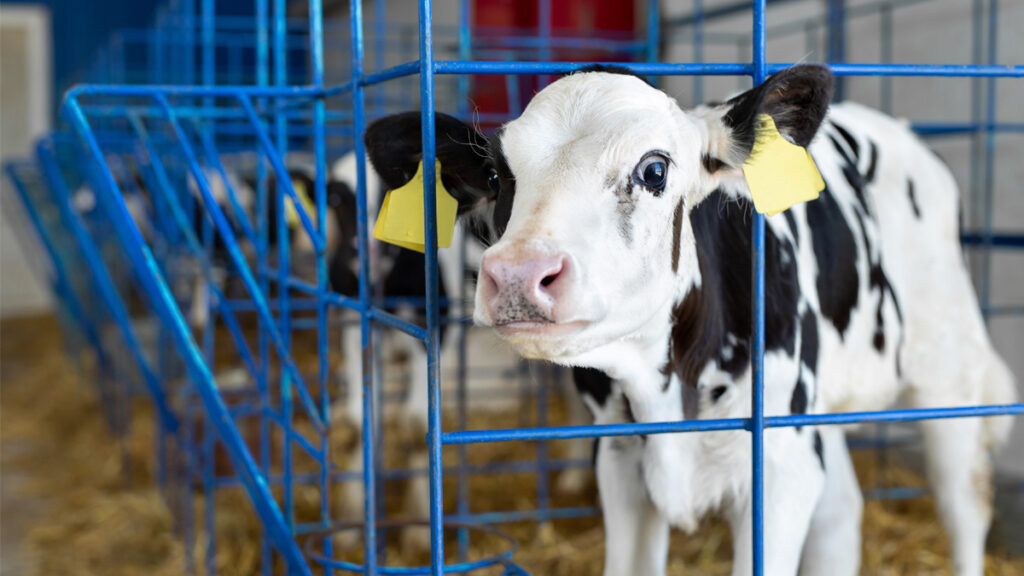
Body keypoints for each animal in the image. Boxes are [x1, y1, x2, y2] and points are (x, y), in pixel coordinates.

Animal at [365, 65, 1017, 575]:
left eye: (654, 170)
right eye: (498, 176)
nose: (520, 274)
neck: (667, 390)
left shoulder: (775, 470)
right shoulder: (622, 465)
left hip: (949, 372)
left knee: (965, 506)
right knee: (841, 513)